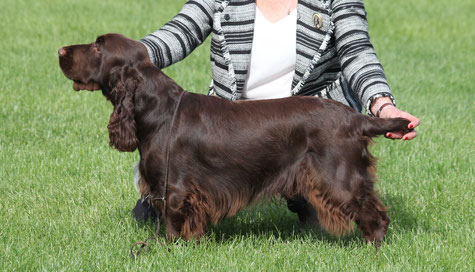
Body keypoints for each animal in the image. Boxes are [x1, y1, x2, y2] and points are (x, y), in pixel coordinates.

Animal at [58, 33, 412, 245]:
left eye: (97, 47)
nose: (60, 49)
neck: (158, 109)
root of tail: (357, 119)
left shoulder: (173, 188)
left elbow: (171, 225)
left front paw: (169, 249)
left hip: (338, 177)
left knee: (376, 214)